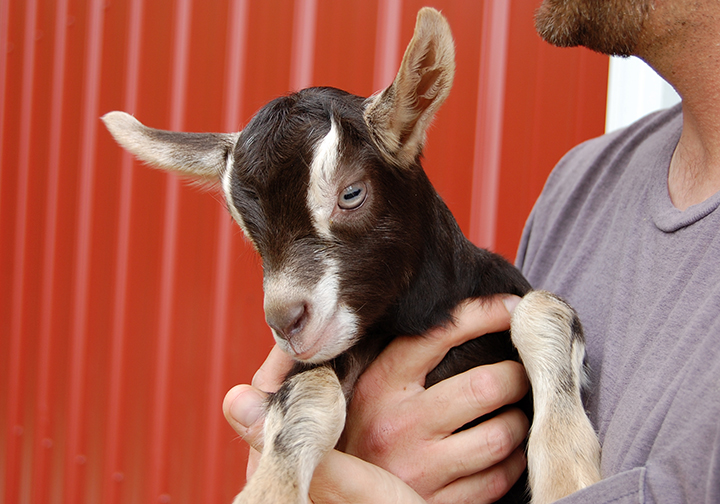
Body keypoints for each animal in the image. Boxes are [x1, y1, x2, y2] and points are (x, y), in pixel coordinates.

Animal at [104, 7, 600, 504]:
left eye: (352, 193)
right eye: (245, 225)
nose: (285, 321)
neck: (416, 318)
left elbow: (542, 309)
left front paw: (566, 474)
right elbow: (310, 391)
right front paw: (271, 489)